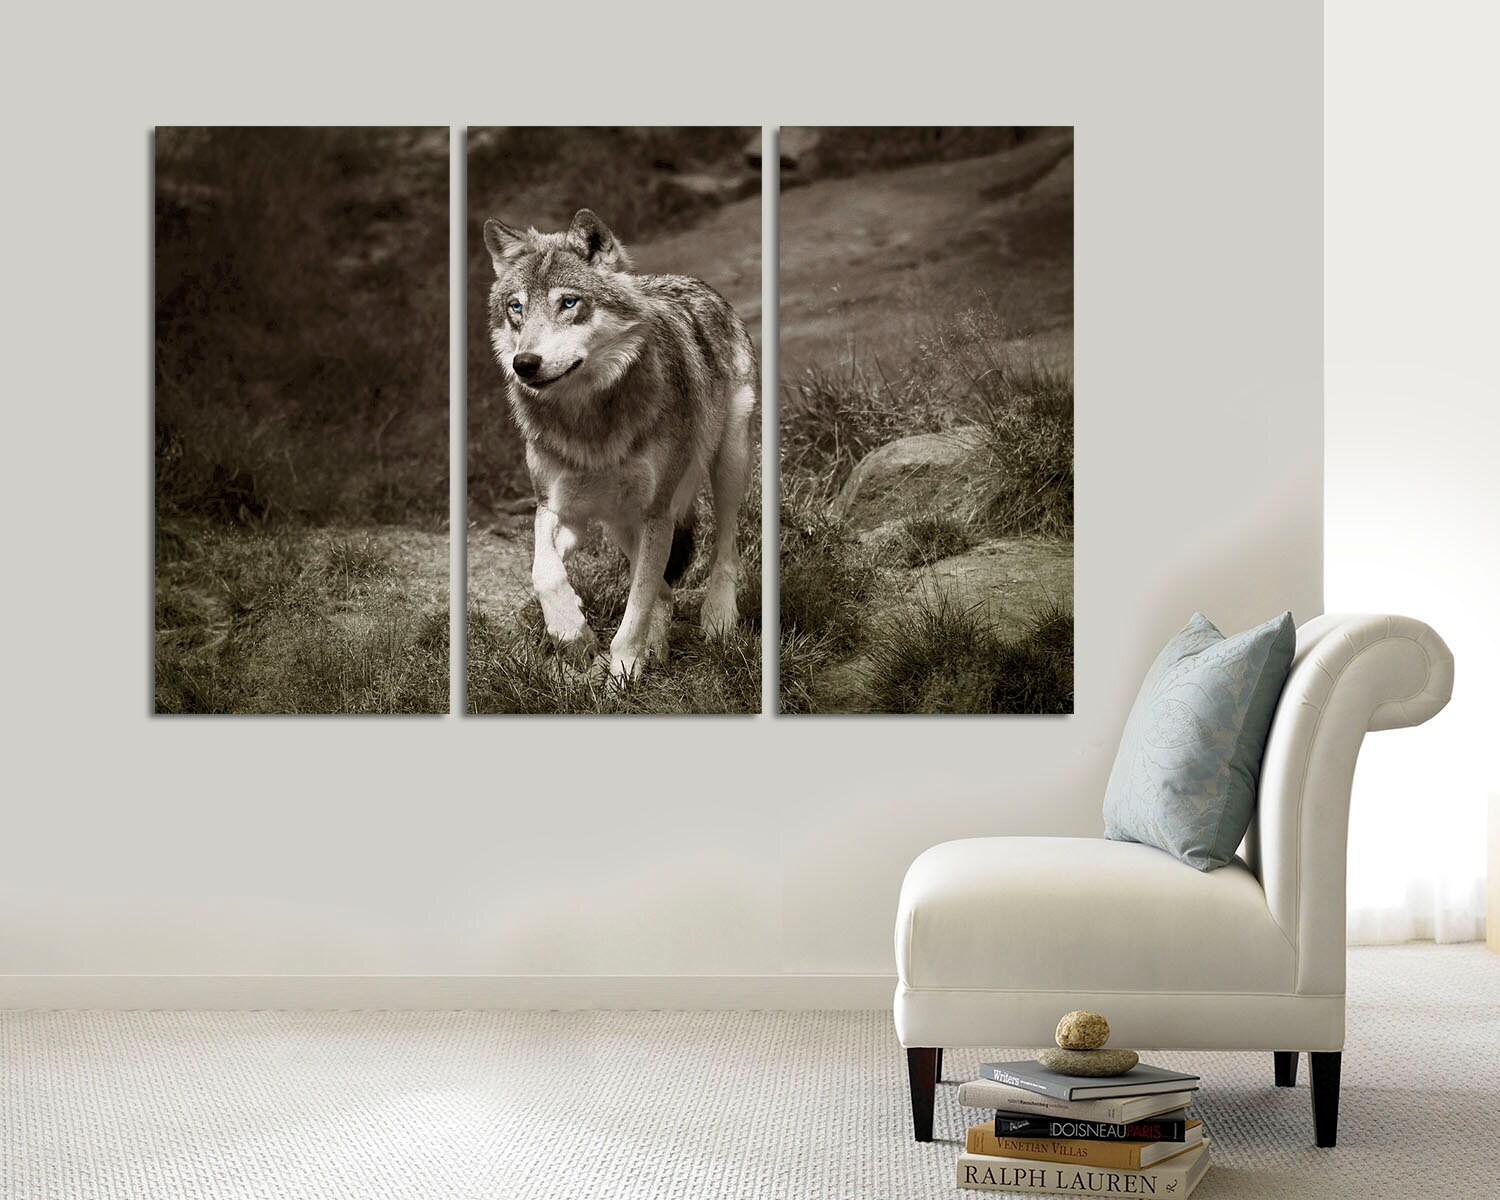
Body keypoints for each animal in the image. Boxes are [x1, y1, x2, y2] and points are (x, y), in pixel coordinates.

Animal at [483, 208, 757, 682]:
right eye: (516, 307)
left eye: (568, 302)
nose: (525, 364)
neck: (589, 423)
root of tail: (686, 280)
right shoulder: (558, 509)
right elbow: (545, 572)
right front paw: (572, 632)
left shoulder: (655, 513)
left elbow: (636, 606)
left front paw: (622, 675)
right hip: (620, 521)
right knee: (664, 592)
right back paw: (658, 648)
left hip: (728, 464)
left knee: (725, 548)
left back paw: (718, 619)